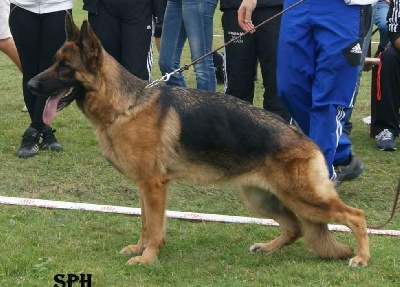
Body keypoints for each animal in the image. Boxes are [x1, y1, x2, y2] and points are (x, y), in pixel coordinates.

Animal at [27, 15, 372, 268]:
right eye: (54, 62)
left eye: (65, 68)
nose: (30, 84)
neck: (126, 105)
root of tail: (309, 142)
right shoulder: (144, 186)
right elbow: (145, 223)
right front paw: (140, 249)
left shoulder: (154, 185)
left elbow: (155, 227)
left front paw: (148, 258)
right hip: (261, 198)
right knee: (296, 228)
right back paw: (267, 247)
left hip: (304, 198)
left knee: (355, 216)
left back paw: (361, 258)